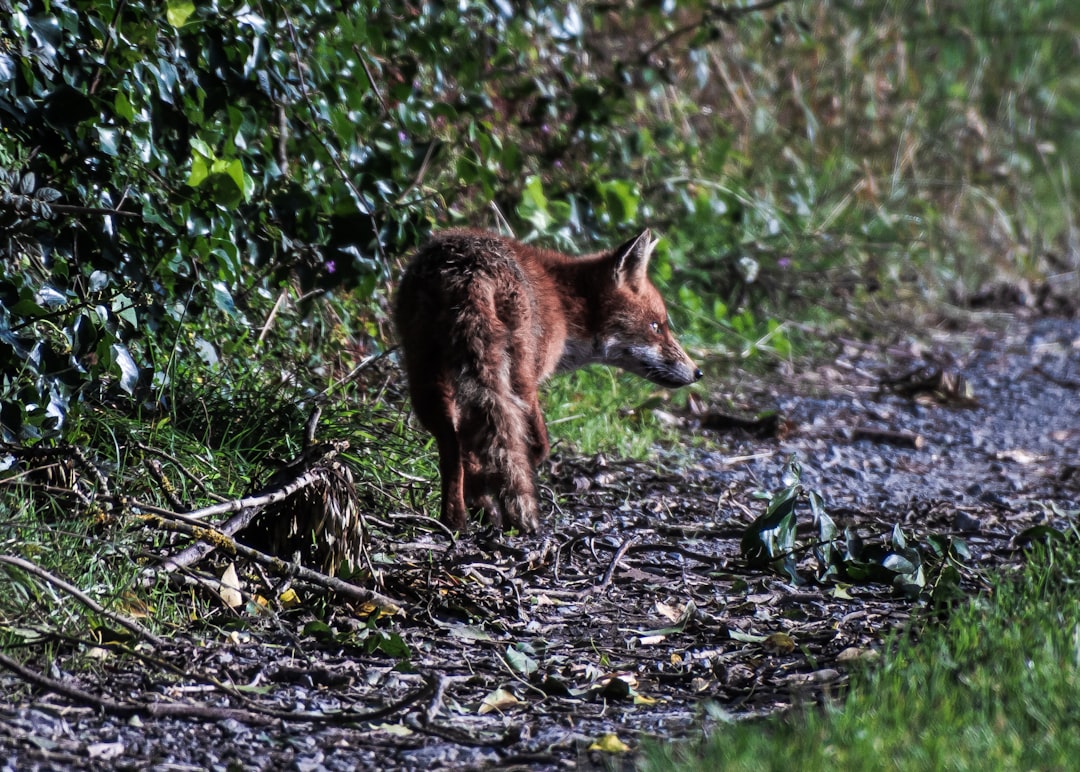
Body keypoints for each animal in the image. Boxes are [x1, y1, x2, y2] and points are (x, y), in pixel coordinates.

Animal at [394, 228, 702, 534]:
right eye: (656, 327)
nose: (697, 372)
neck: (566, 303)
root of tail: (466, 267)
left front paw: (481, 499)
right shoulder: (532, 376)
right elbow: (536, 444)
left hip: (424, 375)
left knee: (452, 443)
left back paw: (455, 519)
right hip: (513, 370)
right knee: (504, 434)